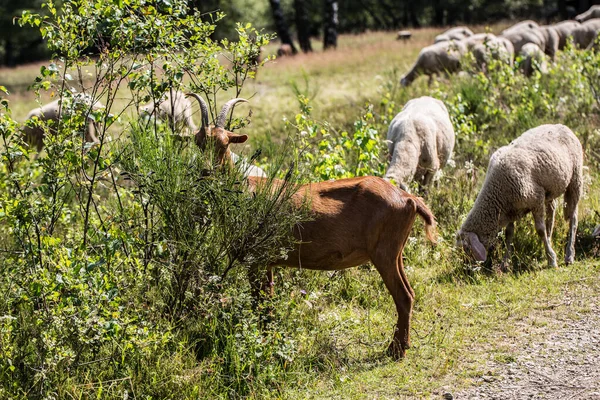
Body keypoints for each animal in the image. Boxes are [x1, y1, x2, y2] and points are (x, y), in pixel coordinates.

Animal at [458, 124, 584, 268]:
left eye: (467, 249)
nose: (468, 268)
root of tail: (562, 126)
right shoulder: (510, 210)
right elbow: (509, 234)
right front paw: (505, 263)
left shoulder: (536, 199)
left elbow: (540, 230)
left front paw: (552, 260)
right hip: (550, 190)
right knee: (551, 215)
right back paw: (550, 242)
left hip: (575, 179)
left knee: (573, 218)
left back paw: (569, 255)